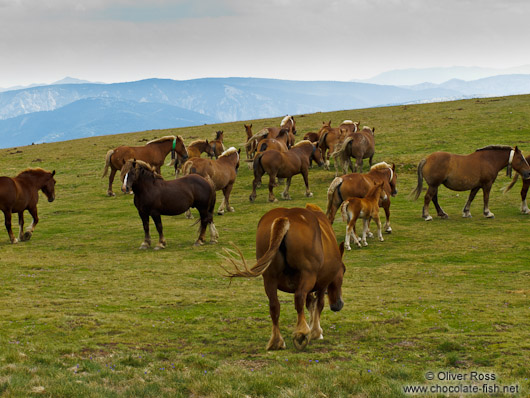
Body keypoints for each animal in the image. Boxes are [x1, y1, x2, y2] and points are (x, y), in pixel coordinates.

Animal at [221, 205, 344, 352]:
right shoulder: (322, 283)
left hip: (269, 278)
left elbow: (310, 304)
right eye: (343, 271)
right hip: (307, 275)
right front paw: (315, 331)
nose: (338, 305)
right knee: (299, 297)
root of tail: (284, 219)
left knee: (274, 305)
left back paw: (276, 341)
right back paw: (301, 334)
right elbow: (318, 304)